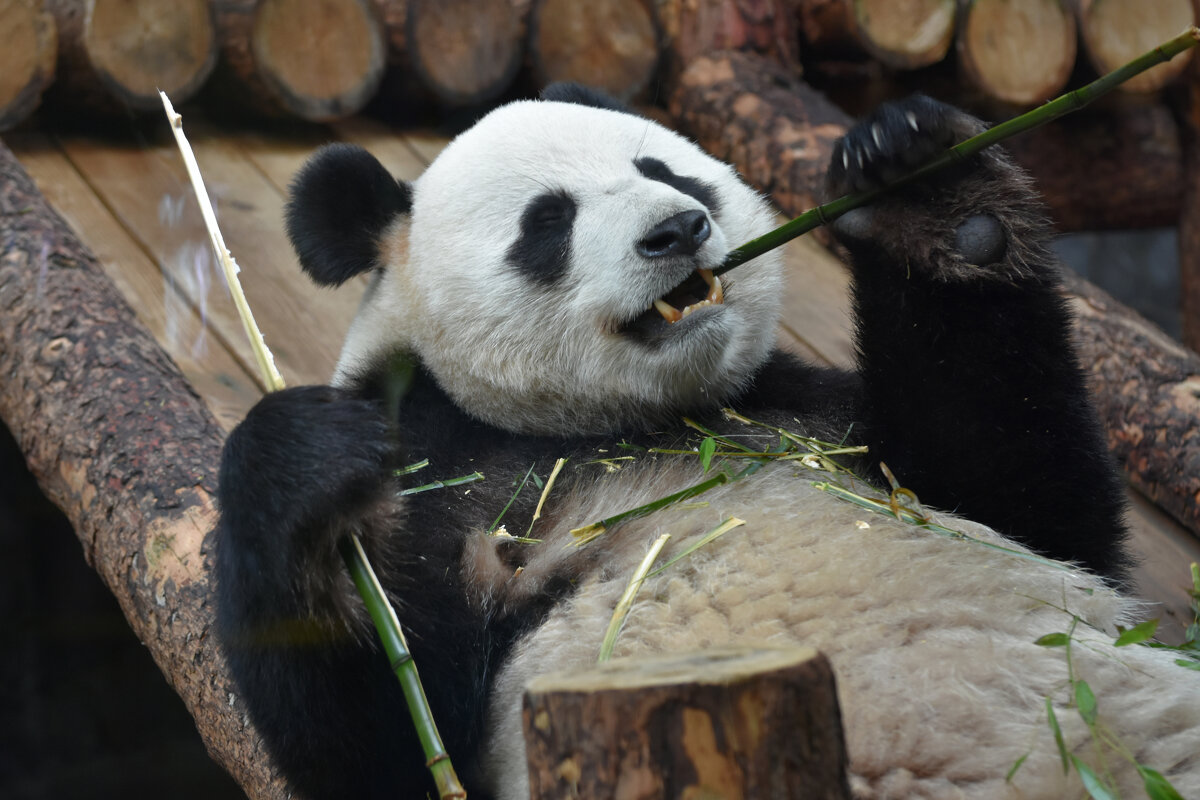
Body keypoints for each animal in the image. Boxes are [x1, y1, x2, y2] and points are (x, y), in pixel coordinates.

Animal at [216, 82, 1200, 800]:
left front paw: (932, 193)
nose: (677, 229)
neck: (629, 424)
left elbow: (1028, 504)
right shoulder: (435, 485)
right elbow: (387, 747)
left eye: (670, 171)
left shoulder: (802, 417)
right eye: (548, 222)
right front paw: (301, 458)